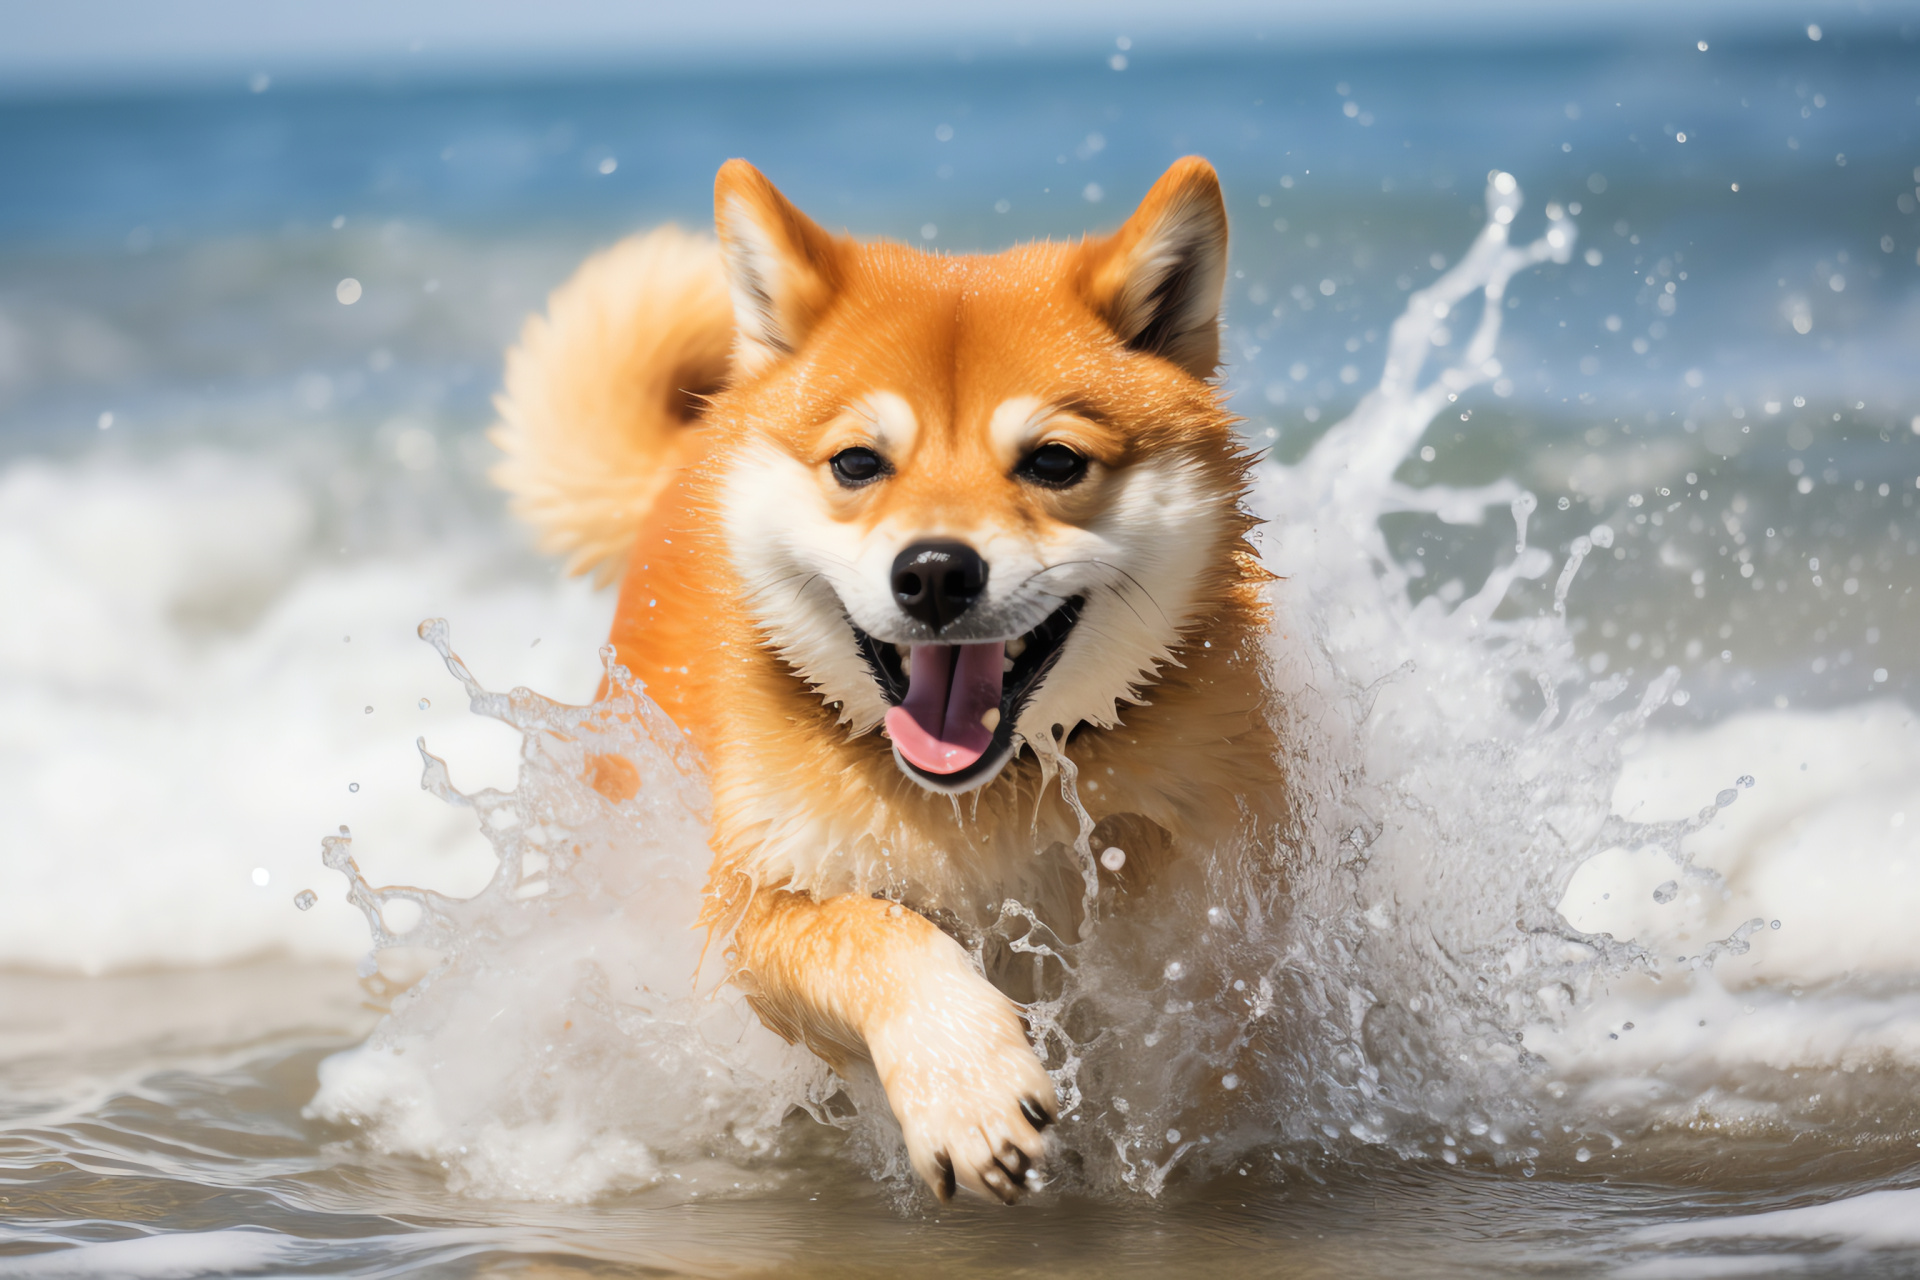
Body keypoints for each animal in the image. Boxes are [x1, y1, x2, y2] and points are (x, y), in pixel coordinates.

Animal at [487, 157, 1282, 1205]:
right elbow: (880, 936)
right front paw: (966, 1086)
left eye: (1054, 461)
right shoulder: (754, 907)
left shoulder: (1211, 885)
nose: (937, 571)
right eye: (859, 462)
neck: (984, 804)